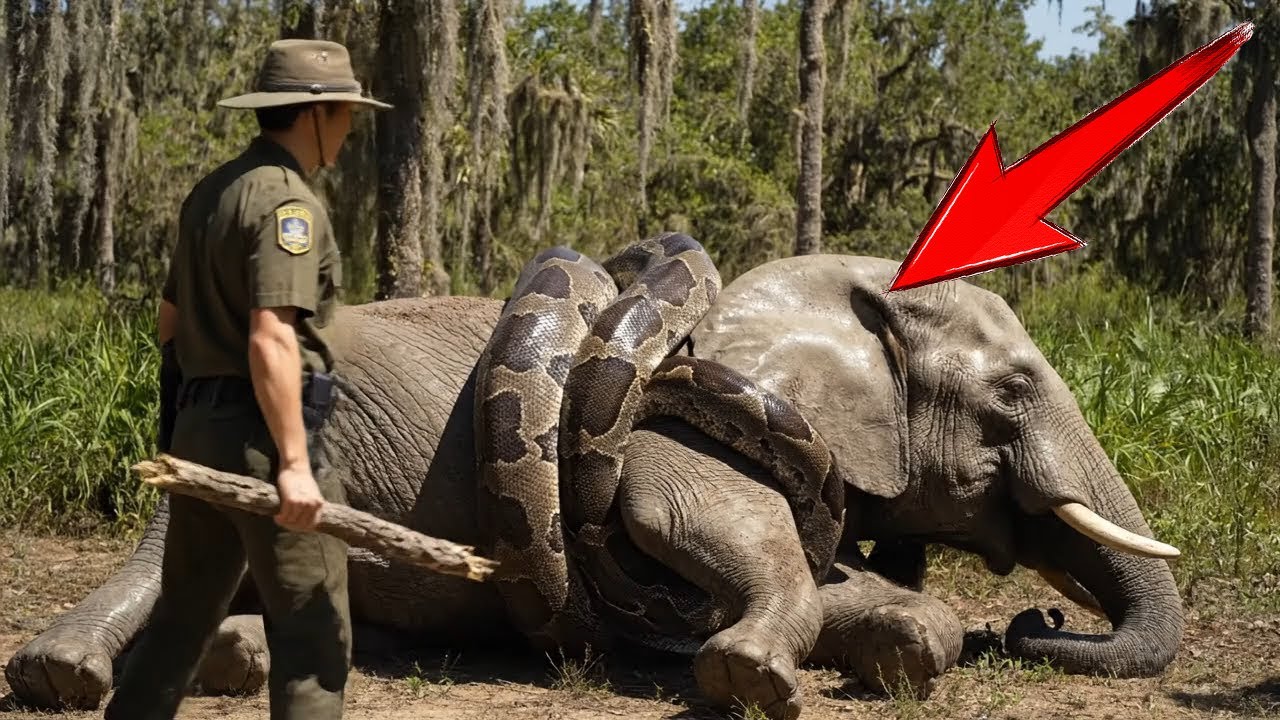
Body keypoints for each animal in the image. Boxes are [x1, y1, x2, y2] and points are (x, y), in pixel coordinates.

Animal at [3, 252, 1184, 720]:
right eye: (1013, 392)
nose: (1036, 620)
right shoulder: (674, 425)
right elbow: (722, 528)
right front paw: (752, 672)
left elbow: (859, 587)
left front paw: (897, 634)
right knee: (172, 547)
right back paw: (71, 671)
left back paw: (233, 655)